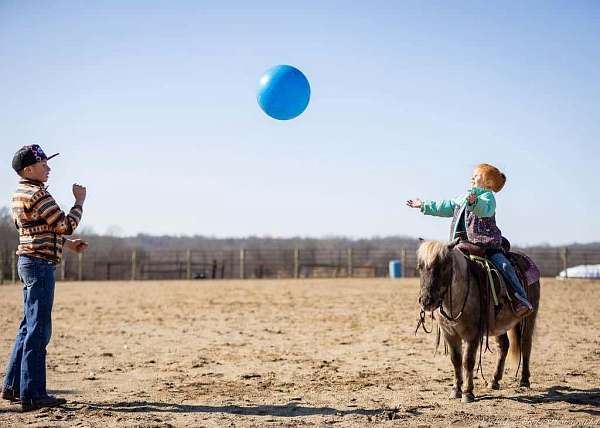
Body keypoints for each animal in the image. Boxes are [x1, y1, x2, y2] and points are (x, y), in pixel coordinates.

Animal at [418, 239, 540, 402]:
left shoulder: (473, 333)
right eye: (420, 267)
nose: (426, 301)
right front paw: (456, 390)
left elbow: (468, 361)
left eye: (443, 266)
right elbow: (456, 360)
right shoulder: (449, 333)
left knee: (526, 343)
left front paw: (468, 392)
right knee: (503, 346)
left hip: (529, 317)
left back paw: (524, 380)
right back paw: (494, 380)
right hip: (499, 325)